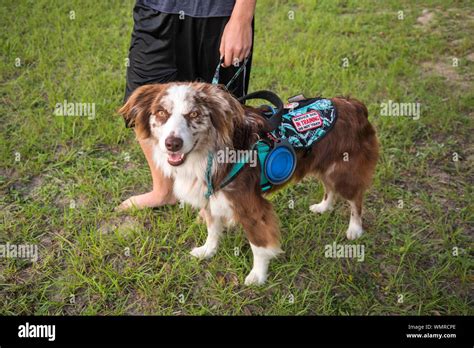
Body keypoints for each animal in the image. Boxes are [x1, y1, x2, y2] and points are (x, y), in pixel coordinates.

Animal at [120, 81, 380, 286]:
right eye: (161, 113)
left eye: (194, 115)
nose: (172, 143)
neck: (208, 154)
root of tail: (353, 105)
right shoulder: (211, 197)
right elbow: (212, 229)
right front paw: (208, 251)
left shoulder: (251, 206)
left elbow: (258, 244)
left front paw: (258, 276)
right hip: (324, 165)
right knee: (329, 189)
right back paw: (324, 207)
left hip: (343, 171)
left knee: (355, 199)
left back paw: (354, 229)